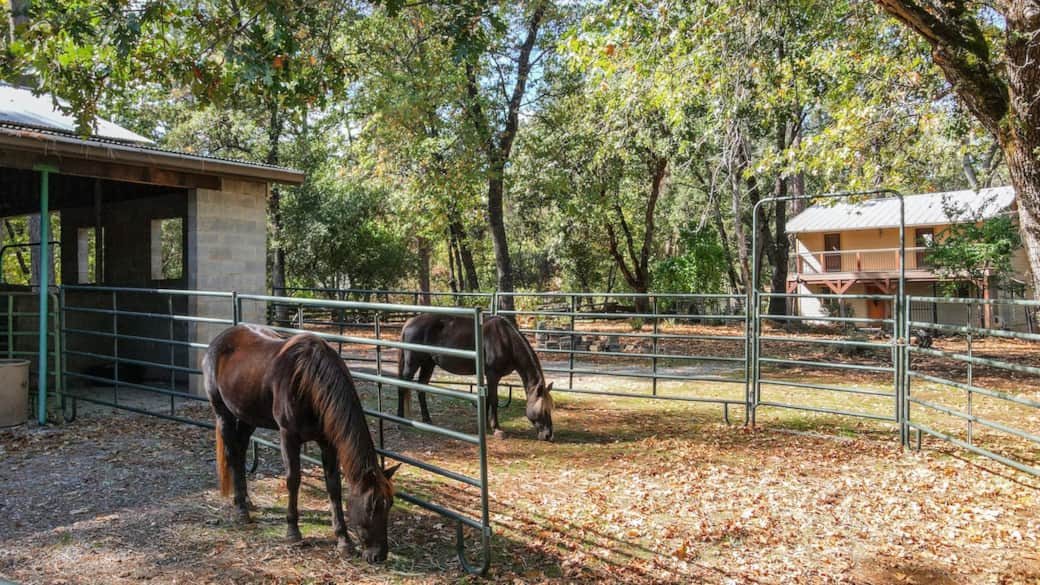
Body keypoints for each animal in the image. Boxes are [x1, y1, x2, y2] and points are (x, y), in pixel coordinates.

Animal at [203, 324, 400, 563]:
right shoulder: (288, 437)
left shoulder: (327, 442)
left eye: (390, 504)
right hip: (223, 413)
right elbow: (293, 480)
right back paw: (241, 510)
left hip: (248, 415)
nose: (379, 555)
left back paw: (246, 500)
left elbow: (333, 486)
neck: (309, 380)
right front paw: (293, 532)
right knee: (232, 453)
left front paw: (344, 541)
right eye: (371, 506)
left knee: (240, 451)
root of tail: (219, 340)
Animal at [396, 314, 555, 441]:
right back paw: (400, 421)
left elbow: (487, 399)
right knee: (402, 386)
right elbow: (494, 400)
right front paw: (497, 429)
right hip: (412, 364)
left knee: (421, 388)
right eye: (543, 410)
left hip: (428, 364)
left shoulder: (488, 377)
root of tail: (409, 322)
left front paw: (485, 426)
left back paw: (427, 420)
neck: (506, 340)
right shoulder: (493, 375)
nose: (549, 435)